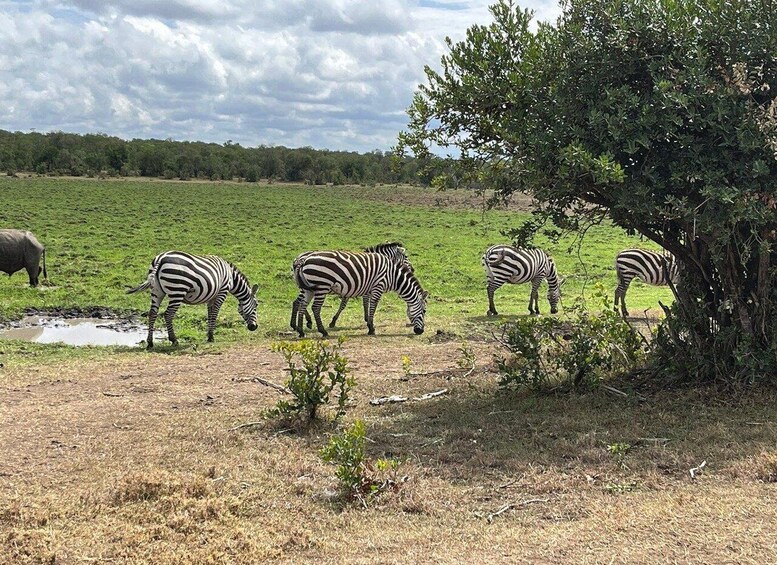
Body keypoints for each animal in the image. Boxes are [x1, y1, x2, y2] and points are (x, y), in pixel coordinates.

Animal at [127, 251, 260, 348]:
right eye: (256, 305)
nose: (254, 327)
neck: (231, 277)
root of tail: (161, 258)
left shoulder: (212, 296)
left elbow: (210, 314)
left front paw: (209, 335)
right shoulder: (222, 291)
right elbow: (215, 314)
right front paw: (212, 337)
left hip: (156, 291)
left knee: (152, 313)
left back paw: (150, 342)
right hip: (177, 290)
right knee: (168, 314)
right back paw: (174, 340)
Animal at [290, 250, 428, 338]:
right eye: (424, 311)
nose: (420, 331)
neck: (393, 276)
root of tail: (303, 259)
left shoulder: (367, 288)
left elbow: (366, 304)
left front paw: (368, 324)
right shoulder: (378, 286)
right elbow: (372, 306)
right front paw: (371, 328)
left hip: (309, 289)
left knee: (302, 305)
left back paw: (301, 331)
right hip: (321, 286)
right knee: (315, 308)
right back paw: (322, 331)